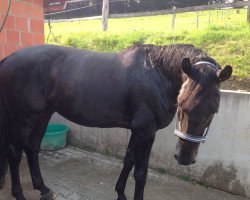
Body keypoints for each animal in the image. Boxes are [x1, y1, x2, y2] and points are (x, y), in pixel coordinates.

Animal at [0, 44, 232, 200]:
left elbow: (128, 160)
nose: (184, 158)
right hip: (23, 119)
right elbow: (140, 173)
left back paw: (43, 189)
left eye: (214, 110)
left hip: (43, 115)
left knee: (32, 149)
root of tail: (8, 59)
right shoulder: (147, 131)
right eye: (182, 105)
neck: (157, 73)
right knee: (14, 154)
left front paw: (120, 193)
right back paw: (19, 194)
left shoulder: (137, 131)